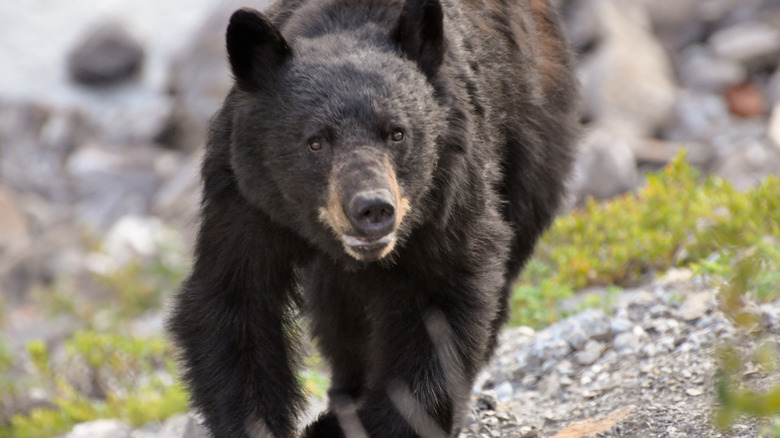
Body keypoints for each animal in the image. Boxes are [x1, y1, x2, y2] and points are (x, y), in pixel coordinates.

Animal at [166, 0, 580, 436]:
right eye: (316, 141)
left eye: (397, 133)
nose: (373, 208)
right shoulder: (247, 199)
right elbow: (233, 304)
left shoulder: (448, 194)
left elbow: (442, 307)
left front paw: (354, 425)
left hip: (531, 142)